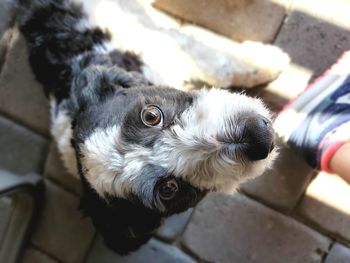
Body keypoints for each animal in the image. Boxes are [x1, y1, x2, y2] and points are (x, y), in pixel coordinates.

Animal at [16, 0, 278, 256]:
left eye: (151, 115)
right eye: (168, 189)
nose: (258, 136)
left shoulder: (163, 46)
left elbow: (220, 63)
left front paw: (264, 62)